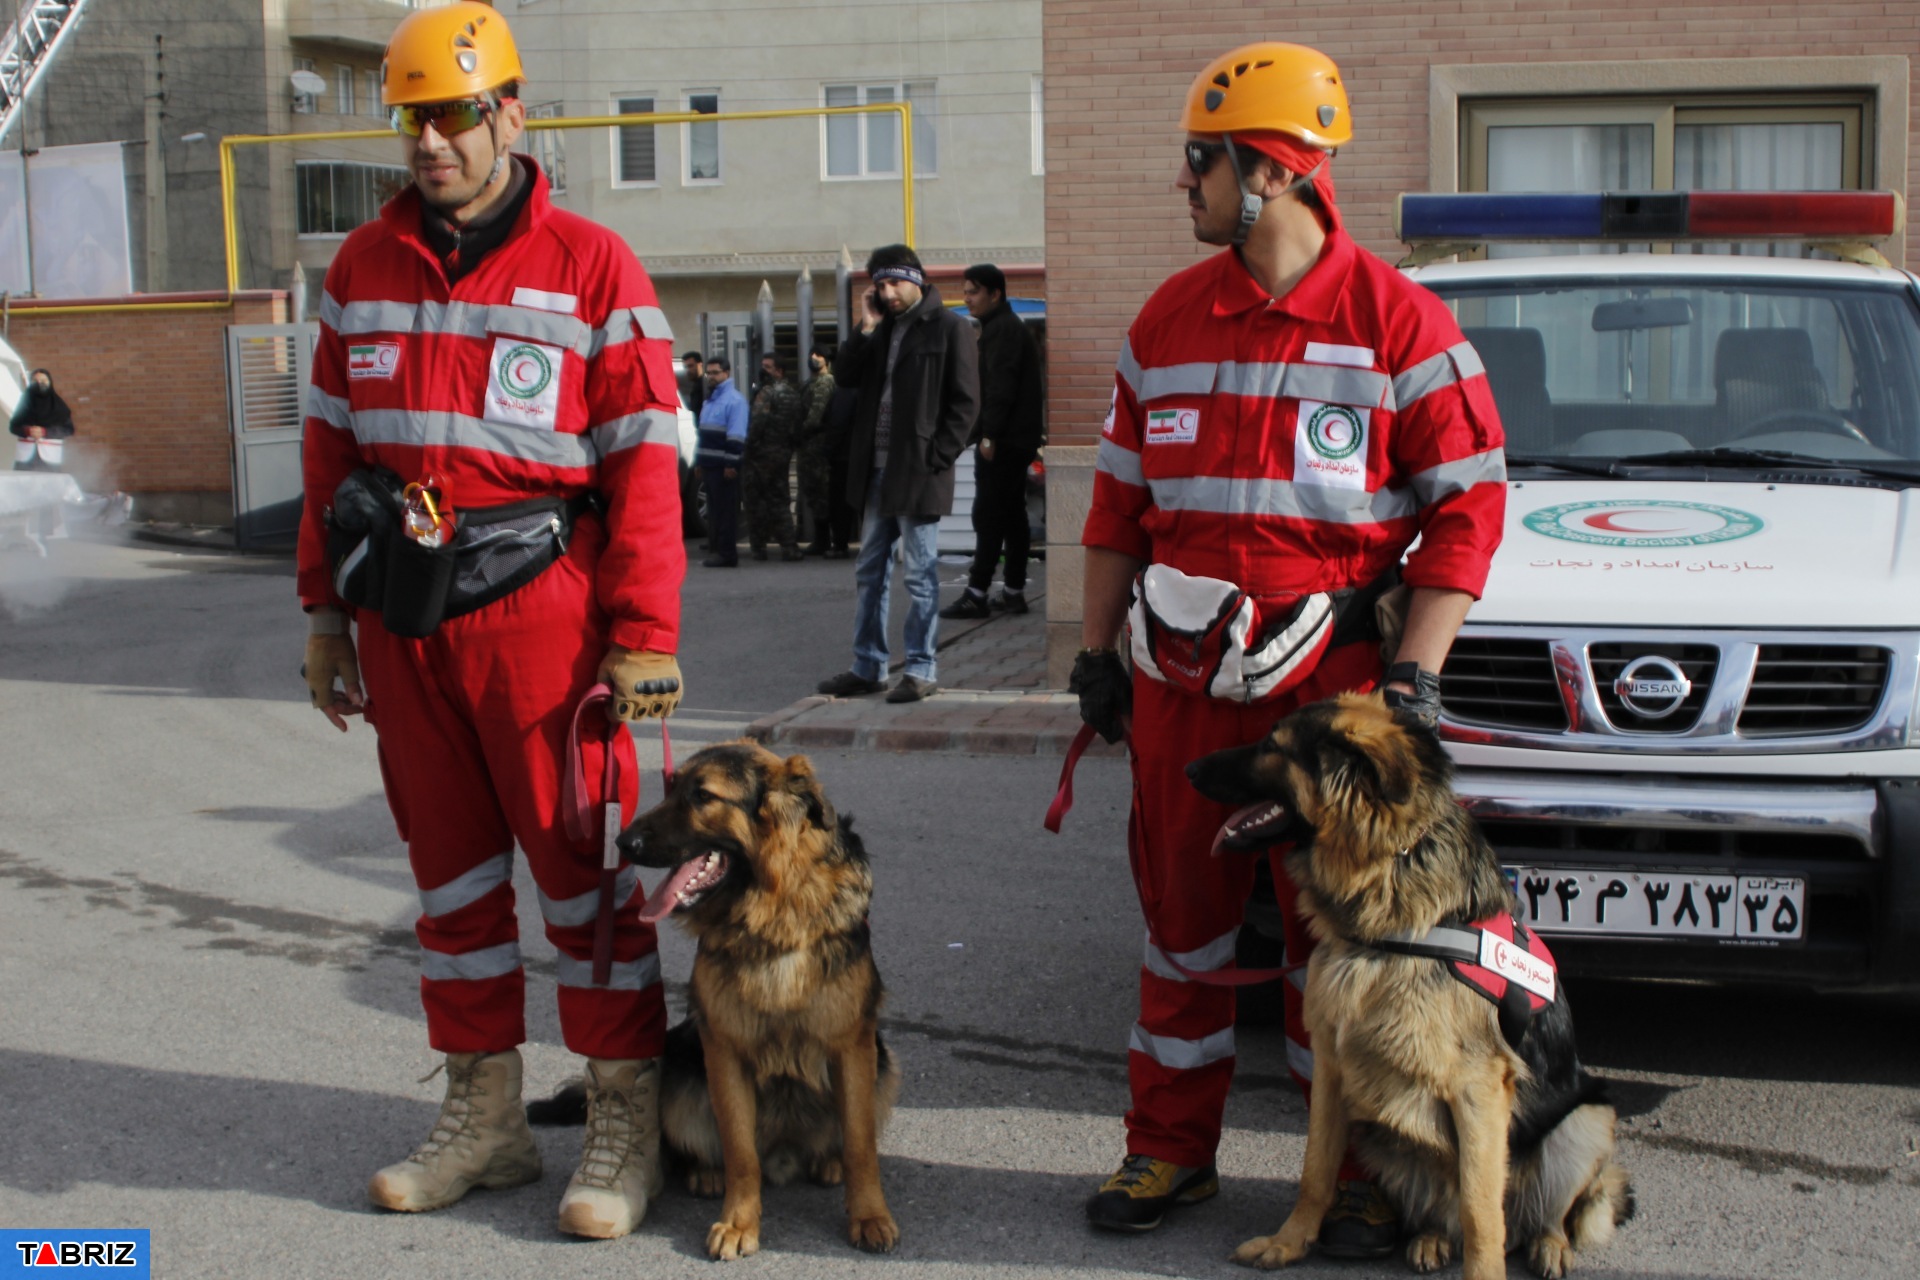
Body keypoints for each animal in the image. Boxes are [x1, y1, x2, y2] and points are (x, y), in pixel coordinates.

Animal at [622, 740, 906, 1258]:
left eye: (702, 796)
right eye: (670, 788)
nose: (621, 842)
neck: (773, 912)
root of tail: (786, 1152)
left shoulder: (852, 1046)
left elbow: (860, 1145)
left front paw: (869, 1215)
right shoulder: (724, 1050)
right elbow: (739, 1151)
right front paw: (739, 1222)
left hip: (883, 1060)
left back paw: (828, 1161)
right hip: (679, 1062)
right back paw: (707, 1172)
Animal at [1190, 694, 1628, 1280]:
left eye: (1271, 746)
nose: (1190, 769)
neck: (1385, 877)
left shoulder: (1479, 1090)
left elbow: (1481, 1210)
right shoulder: (1332, 1065)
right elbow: (1315, 1171)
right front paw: (1289, 1243)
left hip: (1585, 1121)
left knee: (1544, 1211)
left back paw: (1549, 1245)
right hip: (1384, 1129)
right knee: (1445, 1207)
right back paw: (1430, 1239)